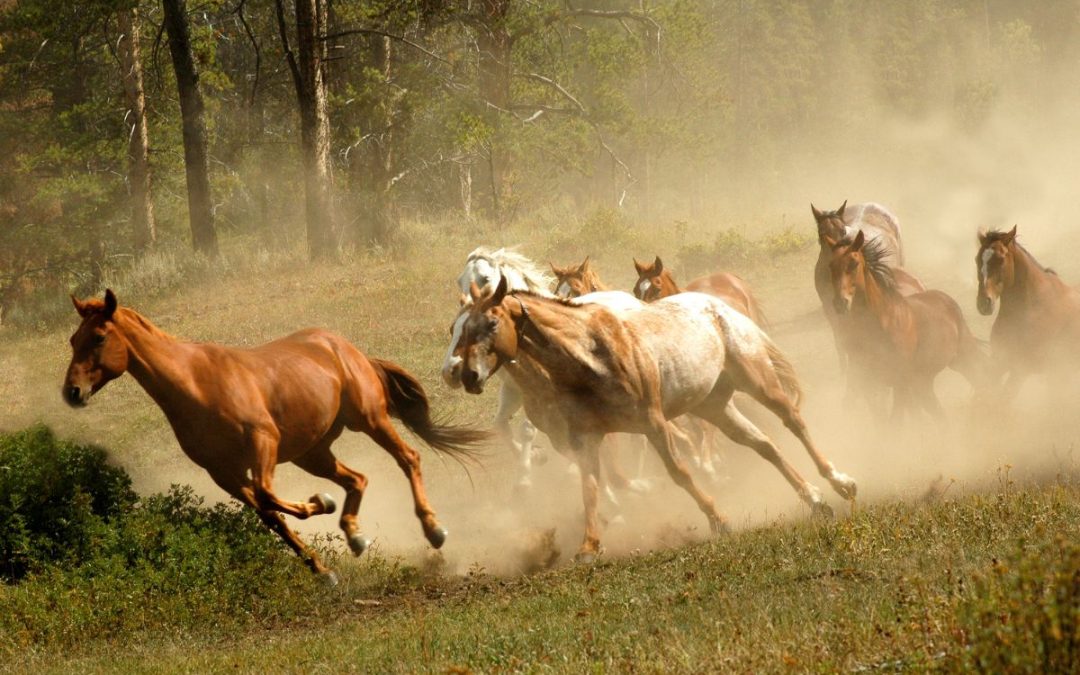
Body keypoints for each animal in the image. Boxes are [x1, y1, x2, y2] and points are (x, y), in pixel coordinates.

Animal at [64, 290, 487, 581]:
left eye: (99, 337)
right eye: (72, 340)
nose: (72, 393)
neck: (196, 384)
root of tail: (345, 347)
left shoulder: (261, 444)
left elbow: (269, 497)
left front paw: (321, 504)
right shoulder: (223, 473)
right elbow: (270, 516)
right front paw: (322, 571)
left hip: (370, 419)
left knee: (408, 459)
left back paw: (434, 530)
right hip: (312, 453)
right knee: (358, 479)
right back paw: (355, 536)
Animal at [449, 277, 857, 561]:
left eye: (490, 323)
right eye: (459, 327)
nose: (466, 376)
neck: (589, 354)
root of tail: (717, 305)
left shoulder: (653, 424)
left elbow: (680, 472)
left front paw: (718, 520)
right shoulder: (584, 438)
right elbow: (591, 487)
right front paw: (589, 545)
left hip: (758, 382)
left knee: (794, 422)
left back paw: (841, 482)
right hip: (714, 405)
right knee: (764, 445)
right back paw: (815, 500)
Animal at [826, 231, 988, 419]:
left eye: (854, 263)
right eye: (831, 265)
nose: (840, 303)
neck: (882, 322)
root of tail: (946, 299)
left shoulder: (900, 382)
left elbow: (896, 420)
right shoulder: (869, 383)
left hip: (963, 357)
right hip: (925, 381)